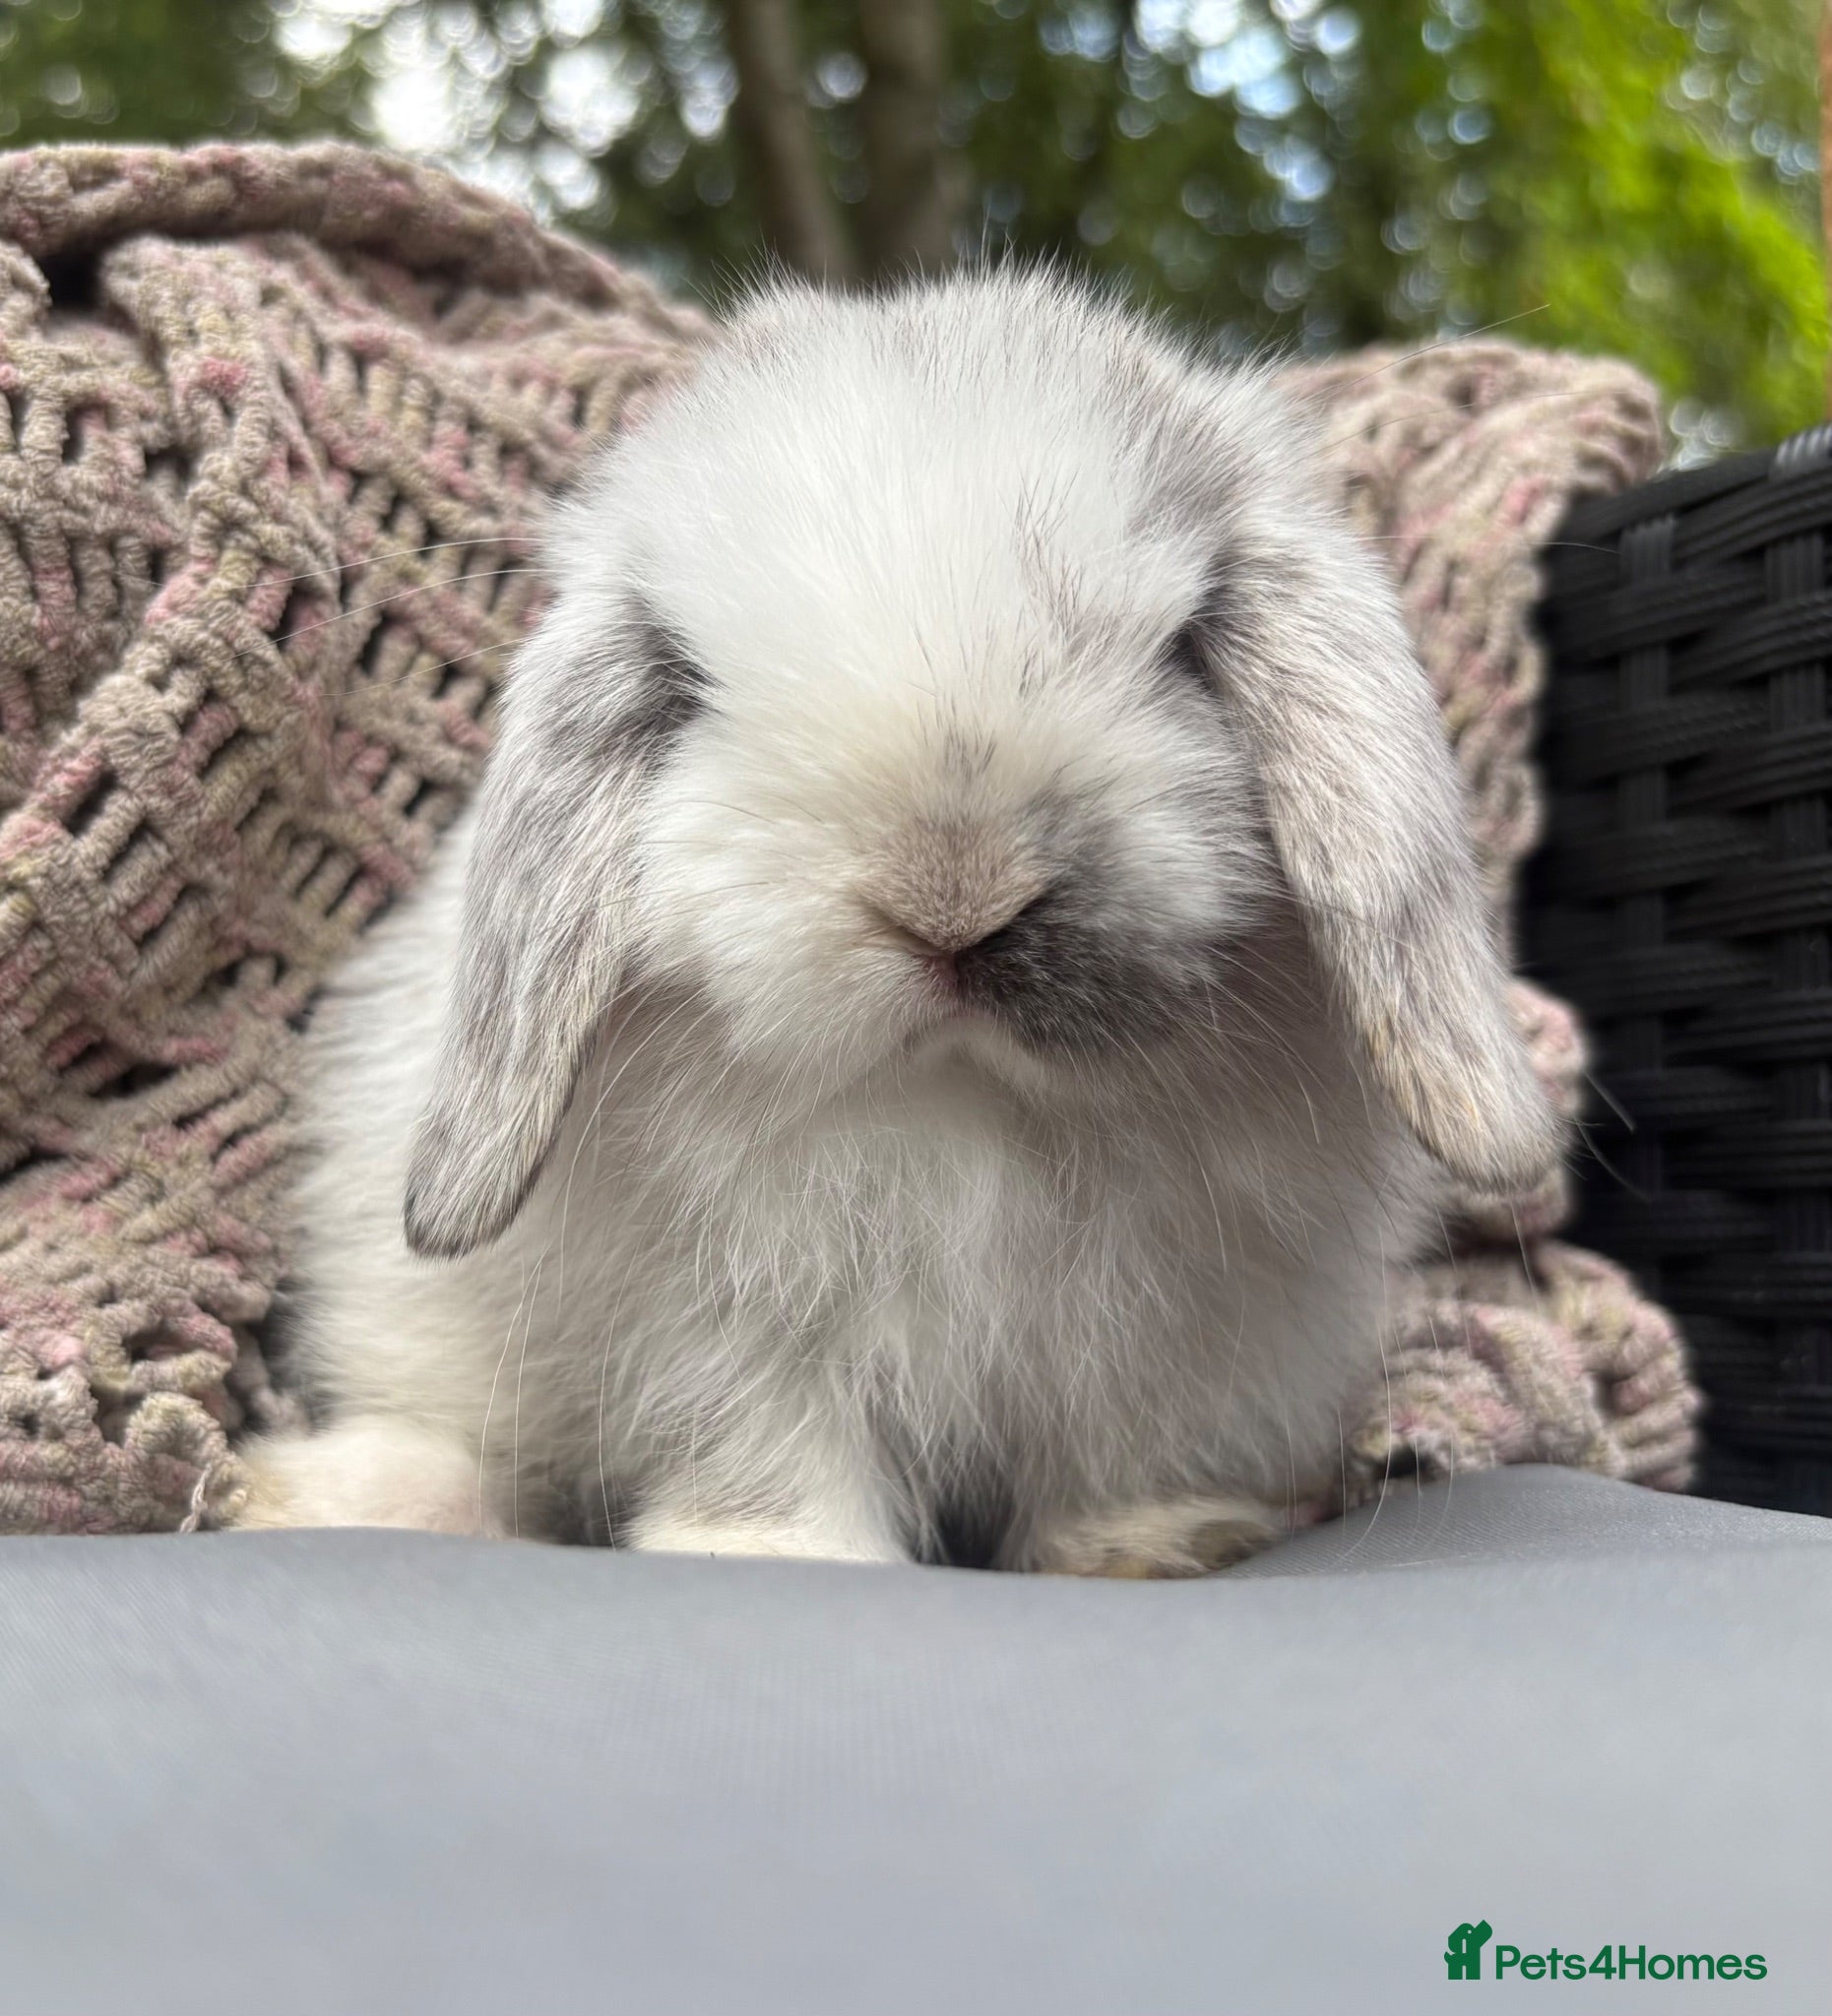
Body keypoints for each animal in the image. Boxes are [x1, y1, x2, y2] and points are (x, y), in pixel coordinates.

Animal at [237, 270, 1557, 1574]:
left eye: (1183, 643)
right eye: (688, 681)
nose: (953, 899)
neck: (963, 1091)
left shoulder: (1183, 1329)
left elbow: (1126, 1453)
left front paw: (1156, 1542)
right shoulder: (728, 1314)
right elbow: (768, 1438)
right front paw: (774, 1556)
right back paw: (328, 1493)